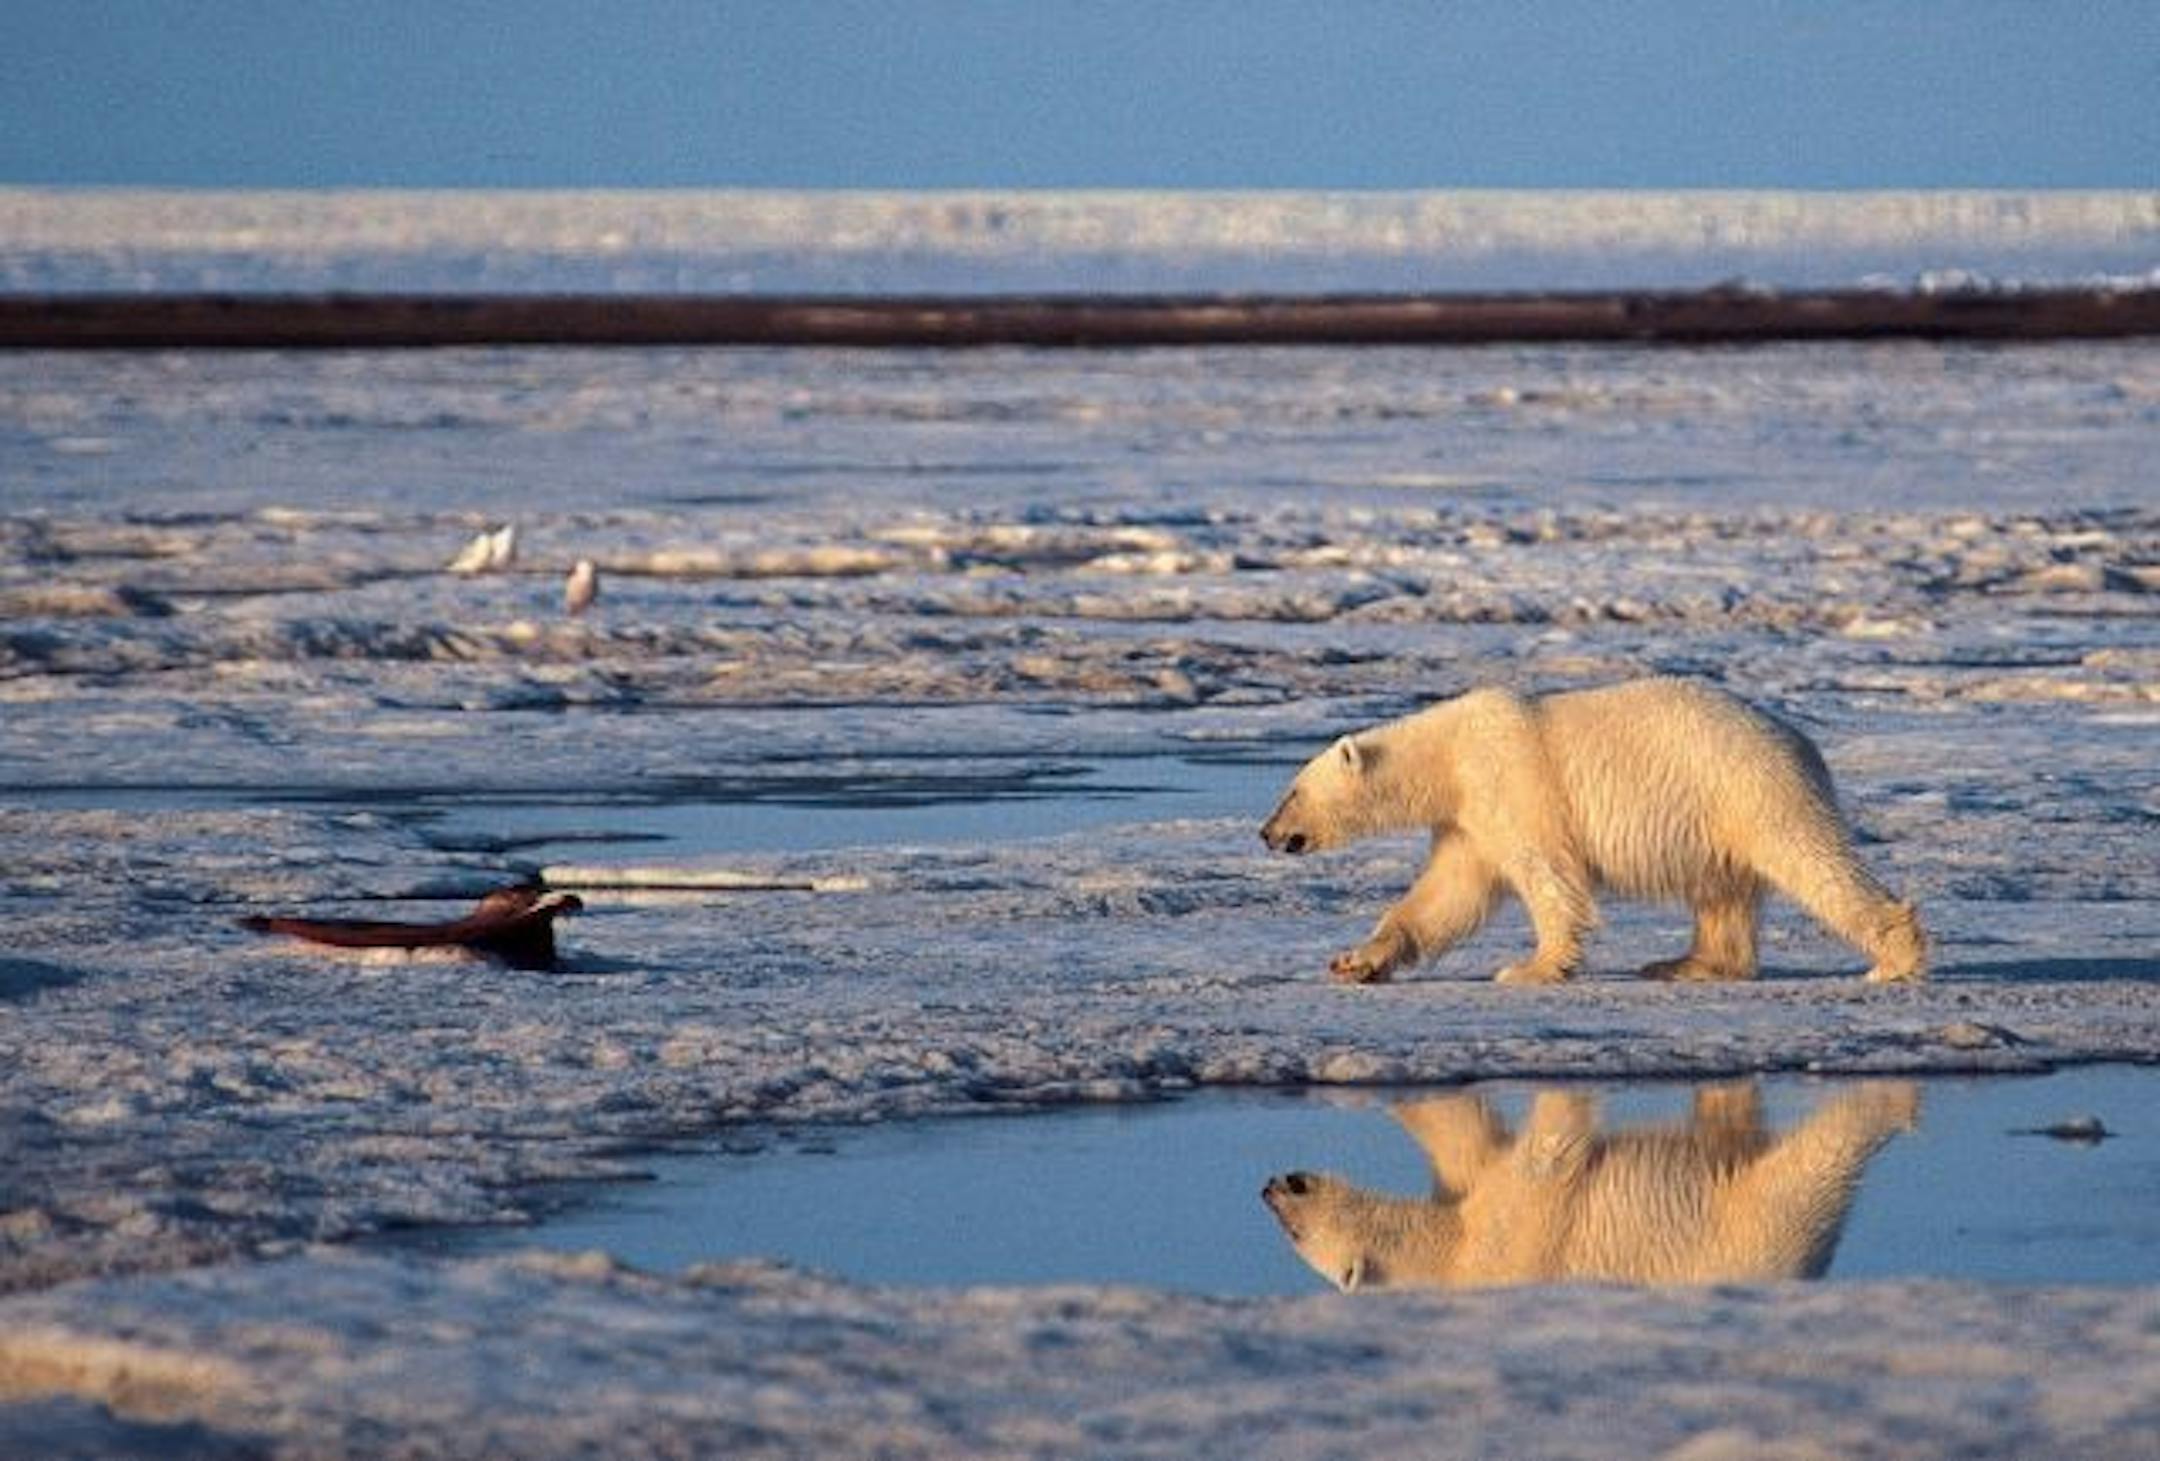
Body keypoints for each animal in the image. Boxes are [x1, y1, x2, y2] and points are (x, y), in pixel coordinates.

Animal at [1258, 677, 1926, 985]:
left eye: (1291, 791)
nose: (1266, 833)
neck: (1448, 755)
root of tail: (1802, 741)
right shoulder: (1468, 820)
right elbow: (1446, 895)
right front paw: (1355, 960)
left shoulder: (1513, 783)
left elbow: (1546, 876)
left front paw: (1530, 968)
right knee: (1721, 892)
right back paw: (1685, 963)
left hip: (1749, 788)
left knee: (1812, 861)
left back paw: (1893, 959)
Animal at [1261, 1081, 1919, 1290]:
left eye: (1294, 1232)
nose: (1269, 1186)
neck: (1453, 1264)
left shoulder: (1513, 1235)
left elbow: (1539, 1161)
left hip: (1752, 1226)